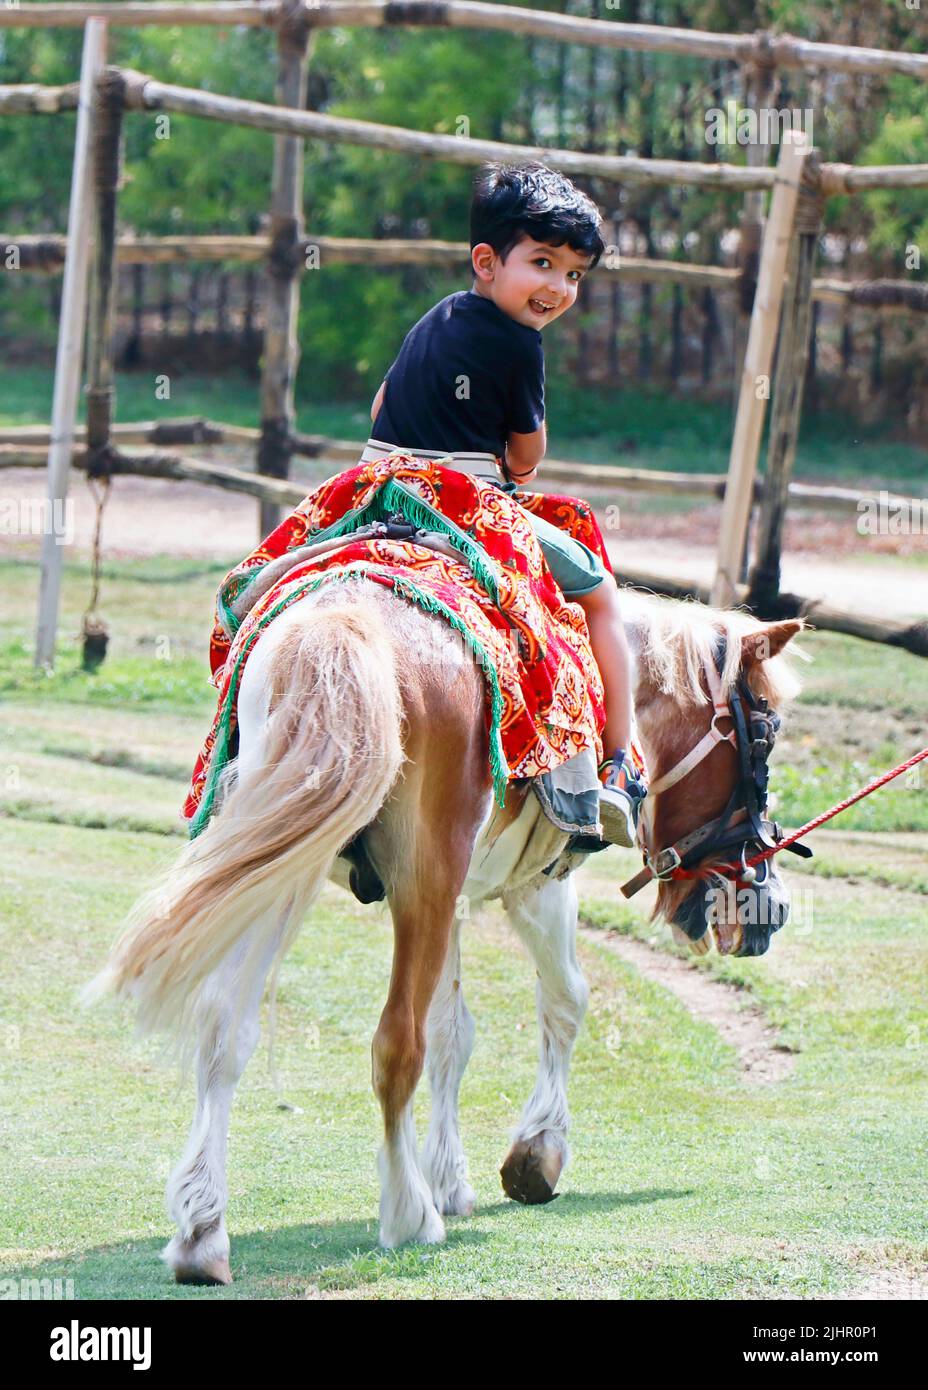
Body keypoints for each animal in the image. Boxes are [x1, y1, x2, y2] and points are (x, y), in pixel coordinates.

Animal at [83, 575, 805, 1283]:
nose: (770, 907)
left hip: (285, 854)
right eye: (764, 736)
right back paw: (407, 1213)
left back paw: (203, 1230)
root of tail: (348, 623)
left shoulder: (454, 897)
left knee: (224, 1026)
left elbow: (454, 1033)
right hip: (415, 875)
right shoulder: (536, 884)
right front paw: (536, 1152)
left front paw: (451, 1178)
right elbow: (565, 1001)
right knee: (394, 1045)